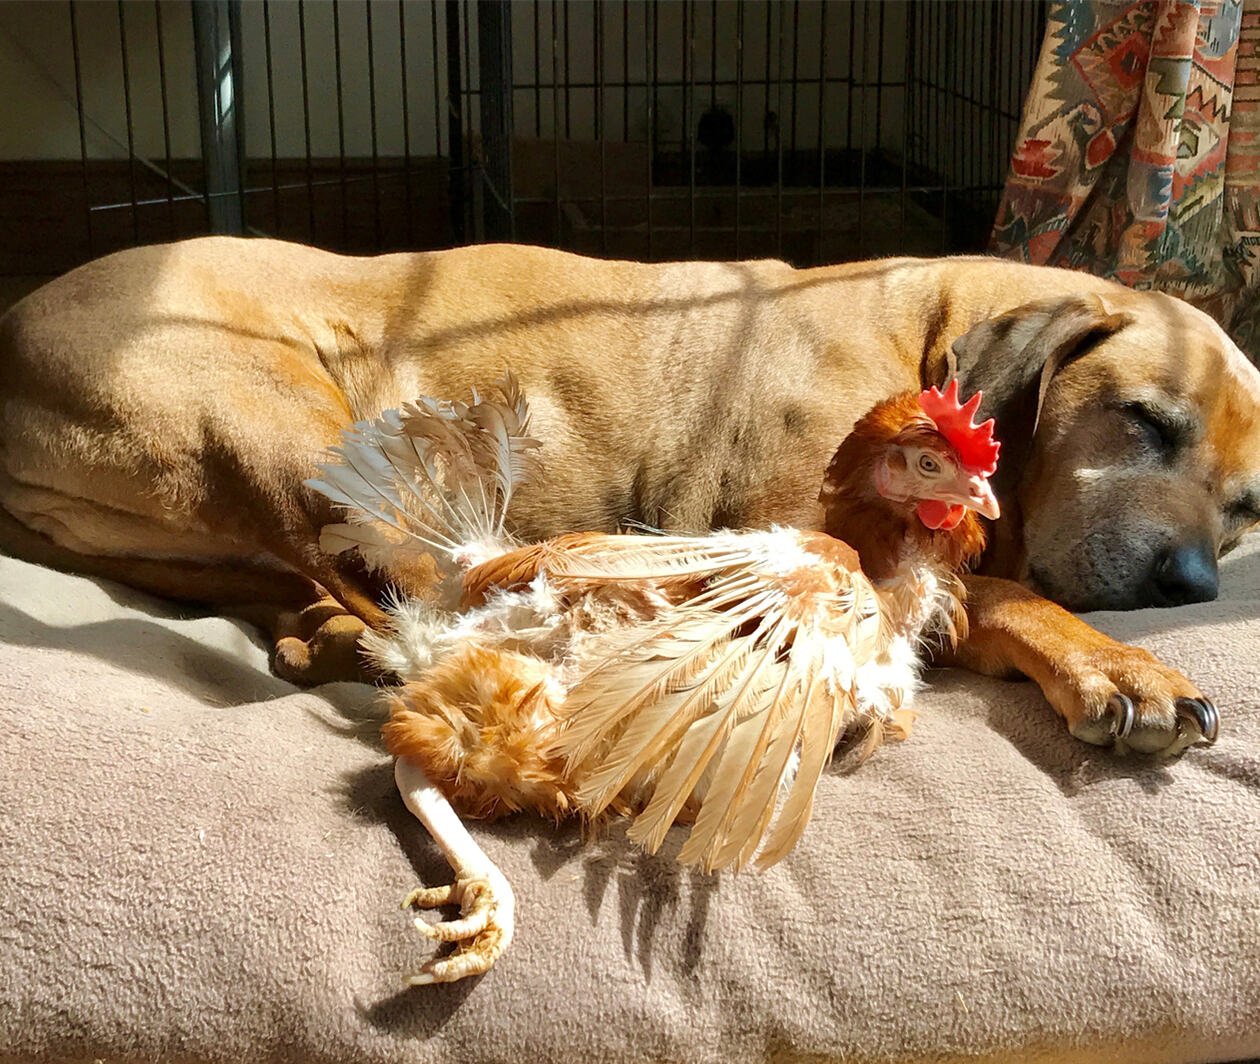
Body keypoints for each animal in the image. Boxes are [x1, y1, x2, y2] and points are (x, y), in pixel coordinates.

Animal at [2, 239, 1260, 756]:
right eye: (1142, 419)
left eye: (1248, 508)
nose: (1189, 583)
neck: (928, 327)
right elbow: (992, 595)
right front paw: (1124, 664)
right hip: (299, 429)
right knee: (424, 592)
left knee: (324, 592)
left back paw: (323, 635)